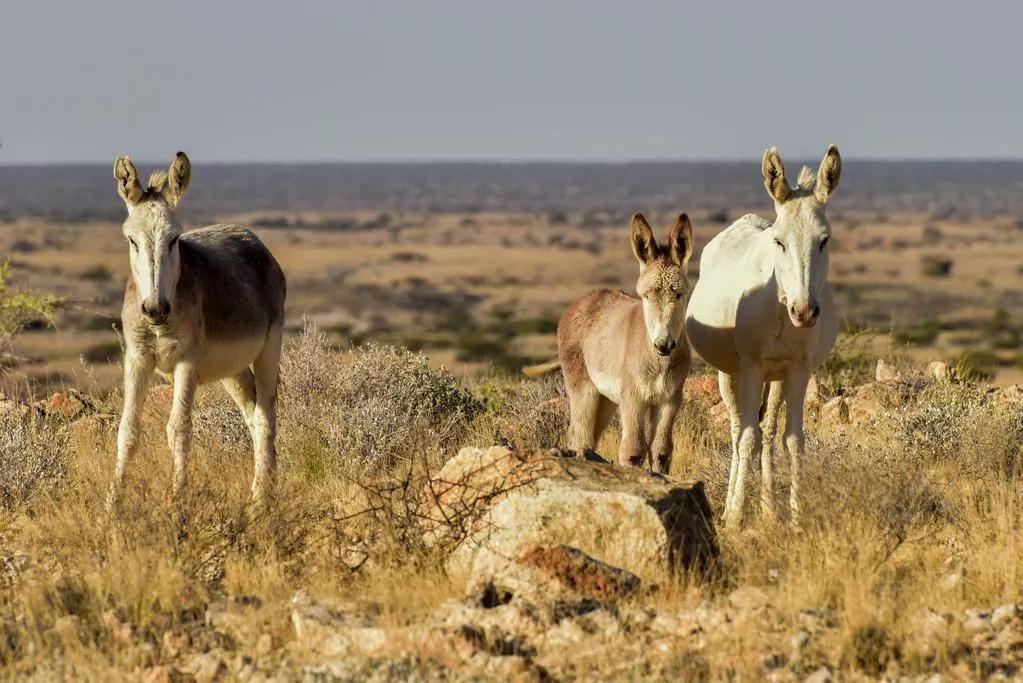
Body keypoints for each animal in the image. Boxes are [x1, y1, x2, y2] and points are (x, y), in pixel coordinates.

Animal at [527, 211, 695, 470]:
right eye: (646, 296)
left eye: (679, 294)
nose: (664, 345)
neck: (657, 363)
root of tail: (584, 300)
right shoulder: (633, 398)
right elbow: (633, 449)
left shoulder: (670, 400)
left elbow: (661, 450)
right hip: (583, 388)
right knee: (581, 436)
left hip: (606, 398)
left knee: (591, 437)